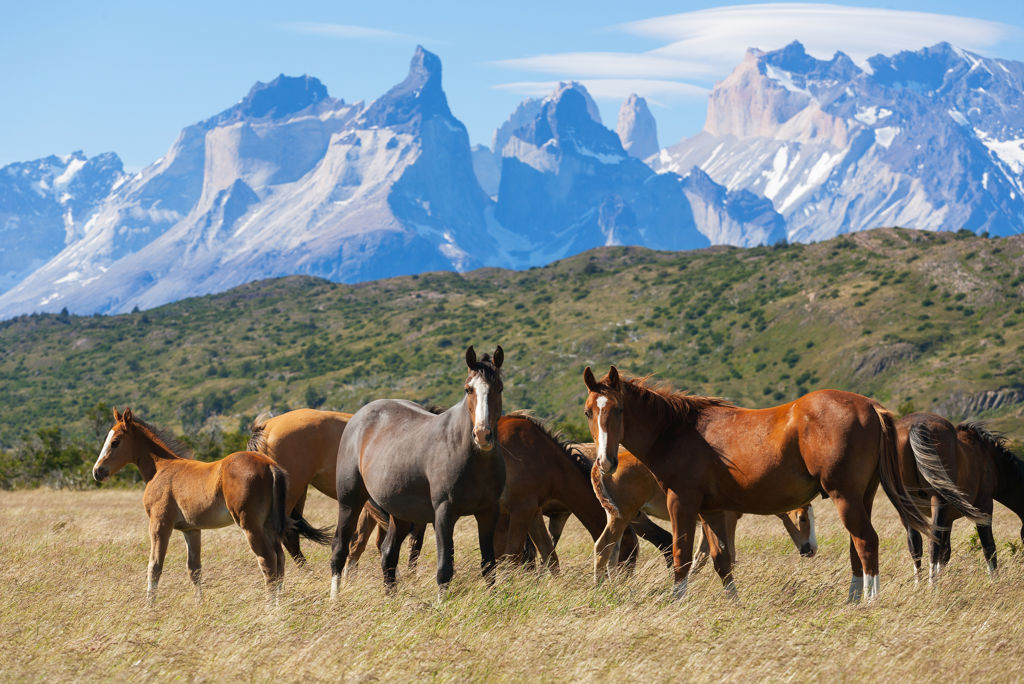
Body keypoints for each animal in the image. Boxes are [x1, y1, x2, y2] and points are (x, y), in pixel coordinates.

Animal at [92, 409, 325, 602]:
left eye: (115, 442)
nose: (97, 471)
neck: (161, 468)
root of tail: (270, 466)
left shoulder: (160, 524)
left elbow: (155, 566)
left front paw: (149, 607)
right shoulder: (192, 529)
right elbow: (194, 570)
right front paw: (199, 604)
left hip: (250, 524)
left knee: (268, 562)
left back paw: (270, 609)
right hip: (268, 524)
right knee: (280, 561)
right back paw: (278, 604)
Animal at [329, 344, 505, 593]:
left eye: (499, 388)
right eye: (468, 389)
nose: (482, 435)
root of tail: (358, 418)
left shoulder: (488, 512)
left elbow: (489, 566)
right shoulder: (444, 513)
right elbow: (445, 569)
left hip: (401, 513)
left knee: (388, 555)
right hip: (349, 501)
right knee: (340, 548)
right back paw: (335, 598)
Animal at [585, 444, 815, 581]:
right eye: (802, 518)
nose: (810, 549)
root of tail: (601, 467)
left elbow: (701, 555)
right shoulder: (727, 518)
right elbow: (727, 555)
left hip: (619, 517)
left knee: (612, 551)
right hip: (622, 516)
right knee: (602, 547)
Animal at [897, 411, 1015, 581]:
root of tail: (917, 425)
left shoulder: (948, 521)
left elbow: (945, 552)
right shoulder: (985, 506)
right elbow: (989, 547)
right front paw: (994, 580)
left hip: (908, 505)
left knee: (915, 544)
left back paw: (919, 584)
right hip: (938, 501)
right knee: (933, 542)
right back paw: (932, 585)